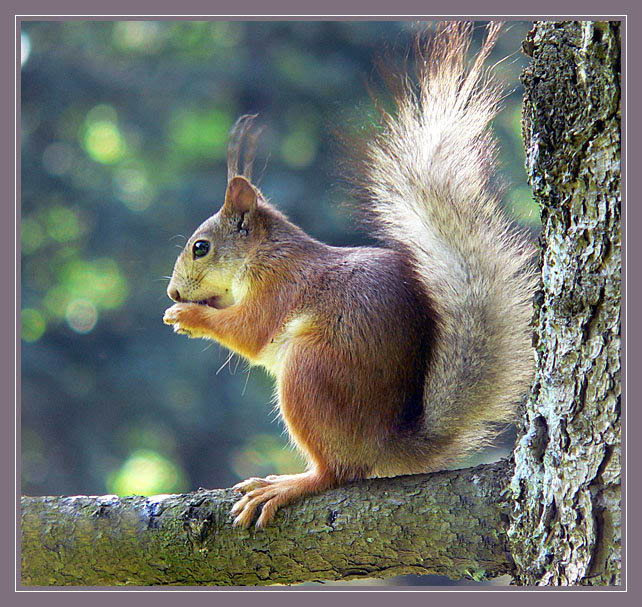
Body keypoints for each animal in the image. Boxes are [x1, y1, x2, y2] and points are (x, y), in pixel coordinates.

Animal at [163, 21, 535, 529]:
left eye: (200, 248)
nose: (173, 291)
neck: (264, 254)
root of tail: (385, 443)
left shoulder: (281, 285)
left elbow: (250, 331)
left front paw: (187, 317)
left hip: (310, 374)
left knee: (339, 471)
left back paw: (290, 484)